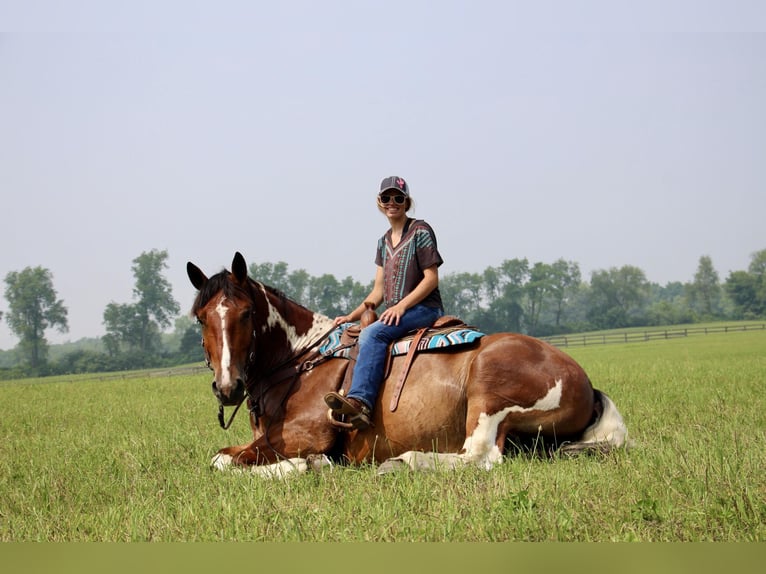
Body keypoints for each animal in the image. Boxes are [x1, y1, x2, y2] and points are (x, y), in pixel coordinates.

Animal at [186, 254, 632, 480]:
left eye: (245, 314)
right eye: (201, 317)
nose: (228, 387)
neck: (301, 363)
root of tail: (585, 383)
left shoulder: (304, 435)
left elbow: (222, 461)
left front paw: (306, 465)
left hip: (489, 389)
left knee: (480, 457)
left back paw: (404, 461)